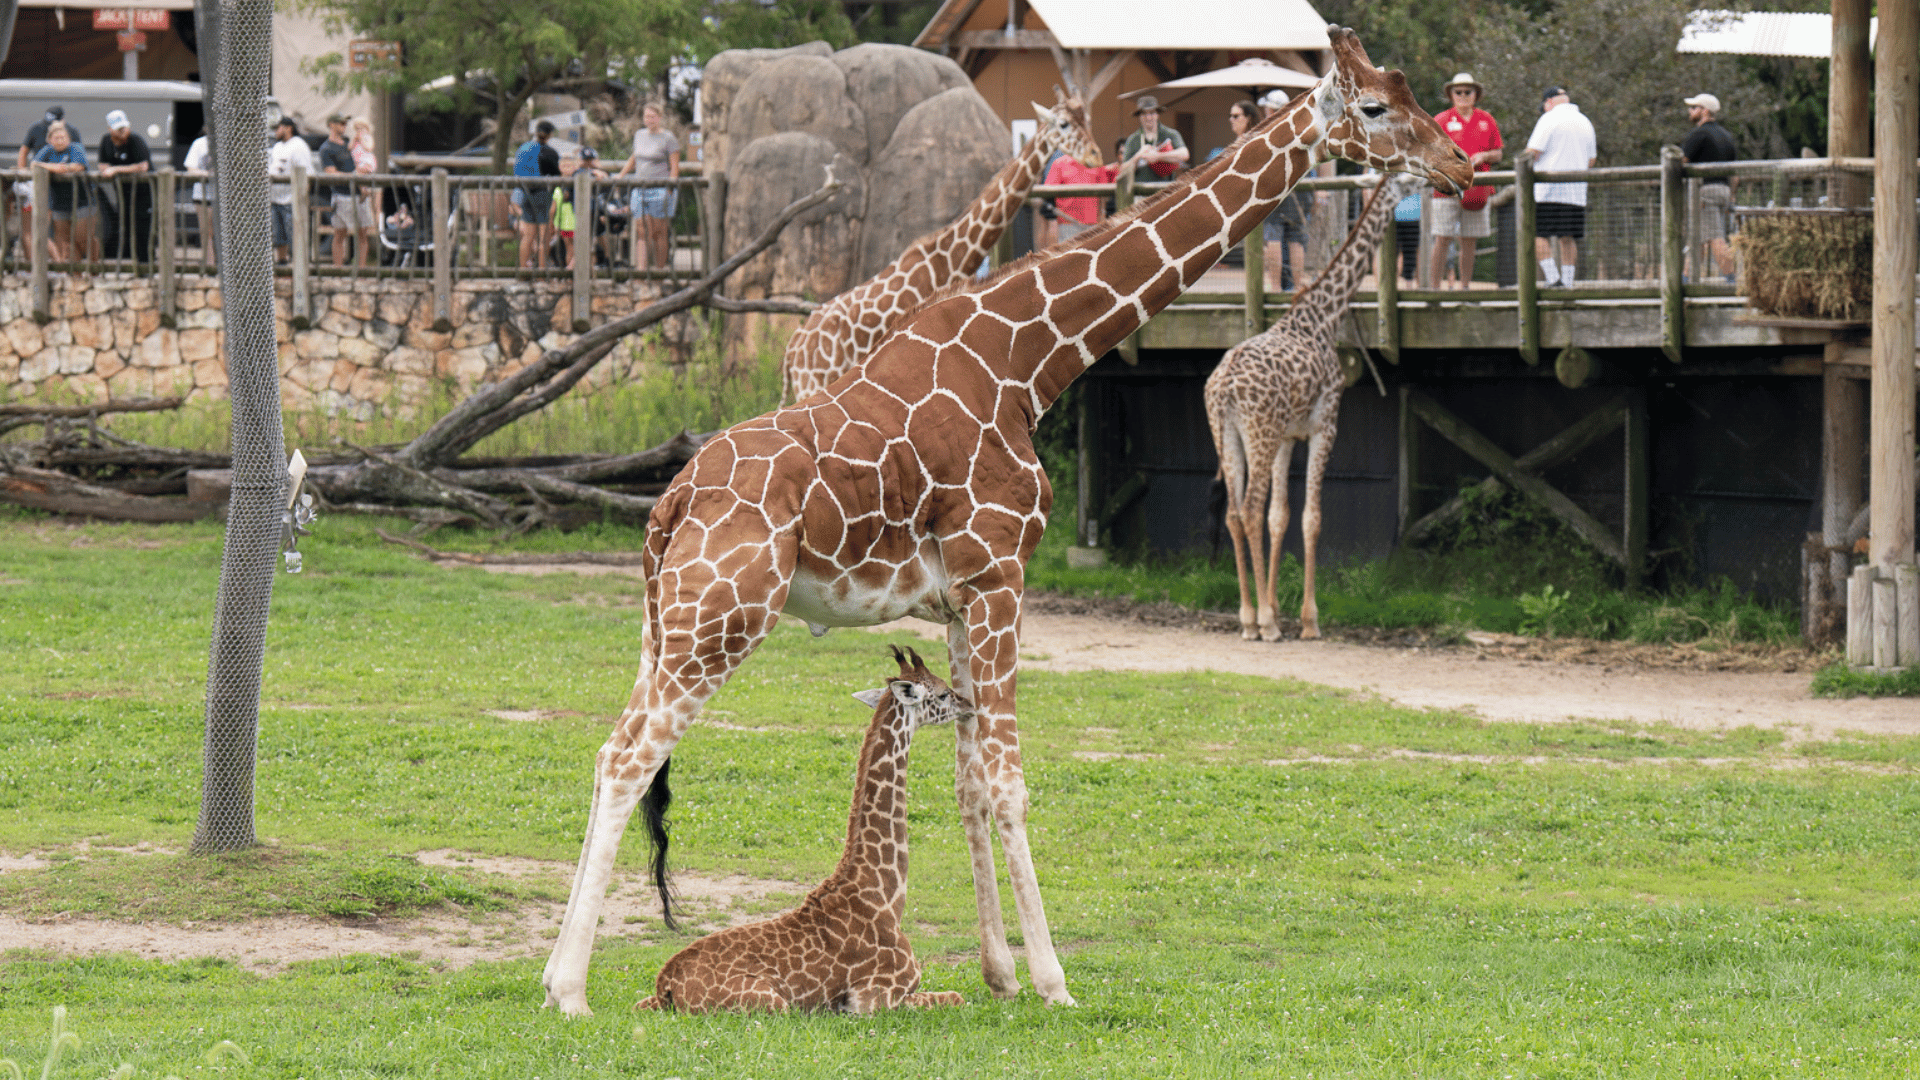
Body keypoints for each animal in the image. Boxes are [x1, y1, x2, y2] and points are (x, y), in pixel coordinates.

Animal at [634, 646, 969, 1014]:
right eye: (942, 692)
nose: (969, 704)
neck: (886, 897)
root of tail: (666, 984)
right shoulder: (873, 998)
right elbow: (956, 996)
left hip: (649, 1001)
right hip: (774, 1002)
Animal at [779, 90, 1102, 405]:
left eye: (1087, 119)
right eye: (1064, 124)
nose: (1095, 156)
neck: (949, 260)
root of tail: (792, 349)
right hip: (815, 381)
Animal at [1205, 172, 1424, 642]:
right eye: (1406, 180)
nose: (1430, 190)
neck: (1324, 316)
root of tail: (1224, 387)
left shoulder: (1289, 435)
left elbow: (1280, 516)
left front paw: (1276, 607)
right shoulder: (1326, 424)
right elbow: (1311, 517)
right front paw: (1307, 619)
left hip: (1226, 433)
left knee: (1235, 513)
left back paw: (1248, 616)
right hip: (1259, 432)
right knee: (1248, 509)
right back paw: (1263, 625)